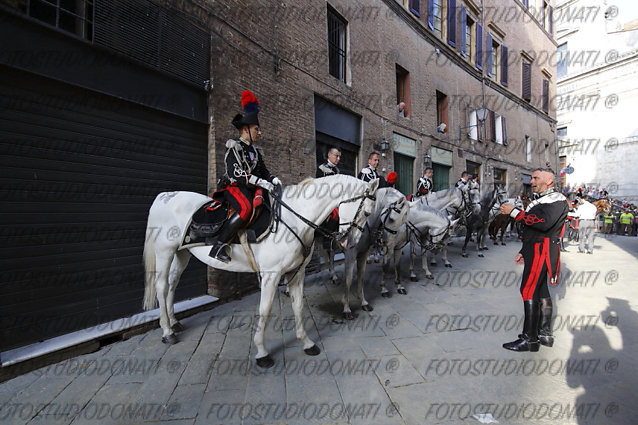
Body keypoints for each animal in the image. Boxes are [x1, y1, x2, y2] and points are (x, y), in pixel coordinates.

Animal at [142, 174, 380, 366]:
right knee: (161, 286)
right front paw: (262, 353)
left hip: (182, 253)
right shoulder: (271, 276)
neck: (295, 220)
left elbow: (298, 307)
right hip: (164, 252)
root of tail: (165, 196)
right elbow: (264, 311)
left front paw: (306, 343)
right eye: (367, 212)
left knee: (172, 285)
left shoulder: (297, 273)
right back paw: (167, 331)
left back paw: (174, 323)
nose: (351, 242)